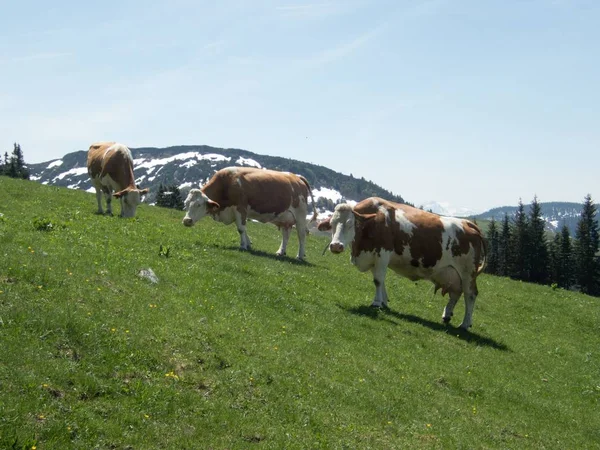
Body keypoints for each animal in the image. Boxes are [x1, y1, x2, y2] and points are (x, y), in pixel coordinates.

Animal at [183, 166, 318, 260]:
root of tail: (296, 177)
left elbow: (241, 228)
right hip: (286, 218)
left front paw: (243, 246)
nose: (186, 220)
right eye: (186, 203)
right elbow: (243, 229)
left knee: (301, 235)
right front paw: (248, 244)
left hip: (300, 215)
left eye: (198, 205)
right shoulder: (237, 211)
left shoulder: (240, 208)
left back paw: (300, 256)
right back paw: (281, 252)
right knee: (286, 234)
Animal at [318, 197, 488, 326]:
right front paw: (384, 302)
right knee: (456, 293)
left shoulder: (382, 253)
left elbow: (378, 280)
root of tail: (468, 223)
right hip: (452, 273)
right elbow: (381, 280)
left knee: (470, 294)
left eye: (350, 224)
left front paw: (376, 303)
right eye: (332, 224)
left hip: (468, 272)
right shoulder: (373, 257)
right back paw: (447, 315)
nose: (336, 246)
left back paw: (465, 324)